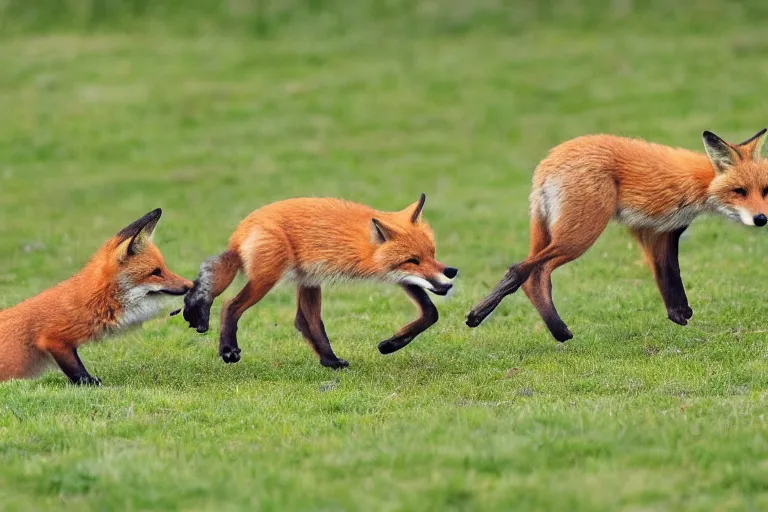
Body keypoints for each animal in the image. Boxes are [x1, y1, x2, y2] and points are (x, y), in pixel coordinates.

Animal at [0, 208, 191, 384]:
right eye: (156, 272)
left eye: (164, 268)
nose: (190, 285)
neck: (95, 300)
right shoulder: (54, 339)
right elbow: (78, 372)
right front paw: (90, 383)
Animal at [464, 128, 768, 340]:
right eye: (739, 191)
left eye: (765, 191)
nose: (761, 219)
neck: (699, 183)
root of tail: (548, 162)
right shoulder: (656, 223)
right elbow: (670, 275)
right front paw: (680, 313)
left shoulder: (659, 230)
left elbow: (669, 276)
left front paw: (678, 313)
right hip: (581, 235)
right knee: (526, 270)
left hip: (552, 232)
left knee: (531, 278)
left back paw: (555, 330)